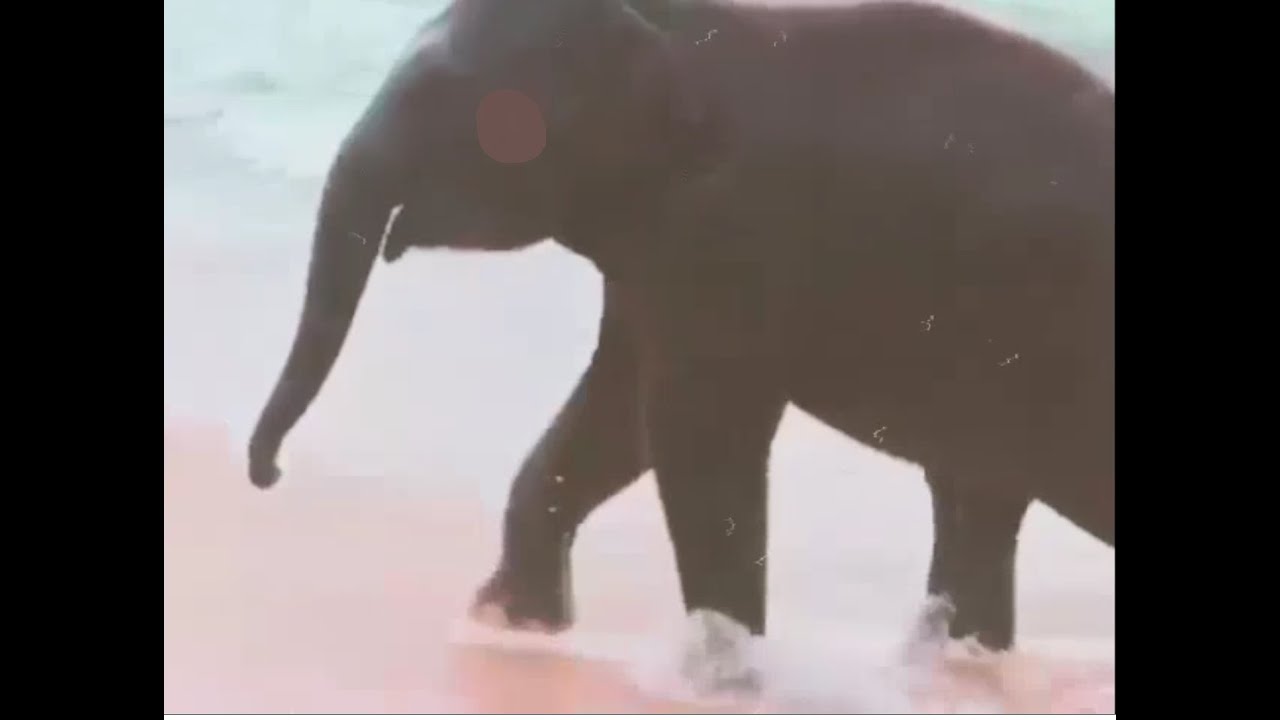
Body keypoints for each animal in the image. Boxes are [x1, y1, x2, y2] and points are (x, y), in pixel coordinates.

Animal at [248, 0, 1115, 655]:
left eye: (438, 98)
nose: (269, 474)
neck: (680, 29)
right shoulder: (656, 249)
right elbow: (615, 420)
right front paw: (512, 625)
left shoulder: (729, 233)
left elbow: (694, 435)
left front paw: (725, 668)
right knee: (977, 499)